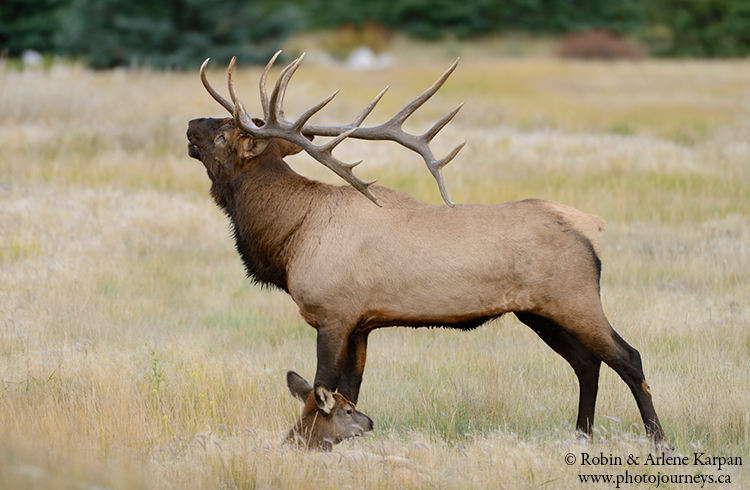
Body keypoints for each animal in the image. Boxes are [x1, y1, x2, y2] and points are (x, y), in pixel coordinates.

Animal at [187, 51, 668, 450]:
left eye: (225, 132)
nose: (190, 125)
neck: (290, 238)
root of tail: (592, 227)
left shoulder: (333, 313)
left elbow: (322, 389)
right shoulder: (362, 322)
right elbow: (350, 390)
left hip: (575, 297)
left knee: (628, 358)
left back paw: (658, 441)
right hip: (538, 311)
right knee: (587, 364)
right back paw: (581, 435)